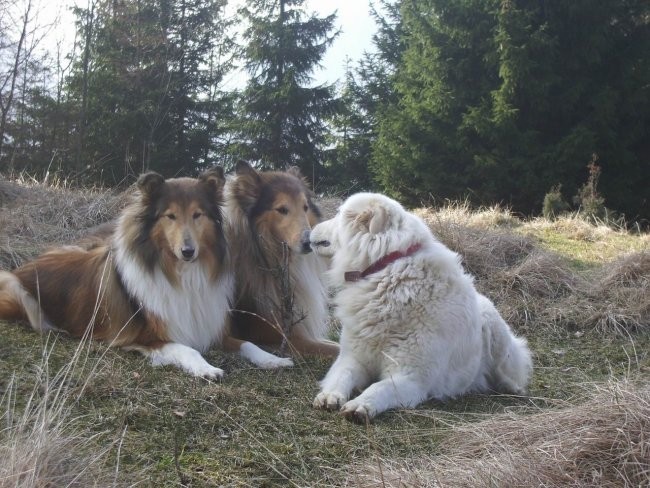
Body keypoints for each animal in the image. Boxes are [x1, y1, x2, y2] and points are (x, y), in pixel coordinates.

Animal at [310, 193, 532, 422]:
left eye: (339, 214)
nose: (310, 228)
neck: (387, 273)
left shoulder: (412, 378)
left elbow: (380, 387)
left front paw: (361, 405)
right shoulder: (352, 358)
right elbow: (341, 375)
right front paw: (330, 395)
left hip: (495, 329)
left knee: (511, 370)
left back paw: (512, 387)